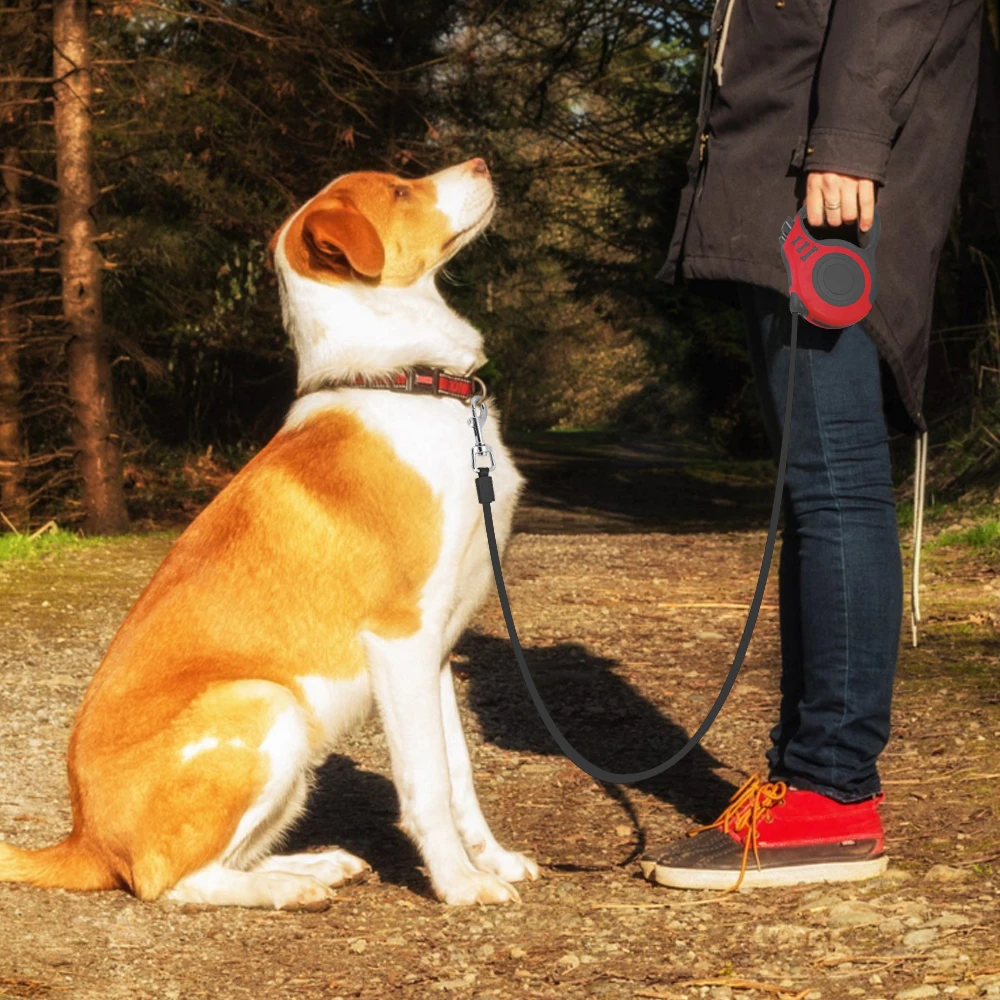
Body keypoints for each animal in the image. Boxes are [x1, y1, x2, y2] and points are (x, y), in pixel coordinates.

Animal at [0, 160, 540, 912]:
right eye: (400, 189)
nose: (484, 164)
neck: (405, 383)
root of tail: (83, 841)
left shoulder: (434, 650)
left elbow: (459, 777)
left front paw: (492, 862)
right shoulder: (399, 639)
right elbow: (428, 784)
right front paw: (459, 885)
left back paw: (313, 866)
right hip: (266, 703)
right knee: (170, 882)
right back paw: (291, 888)